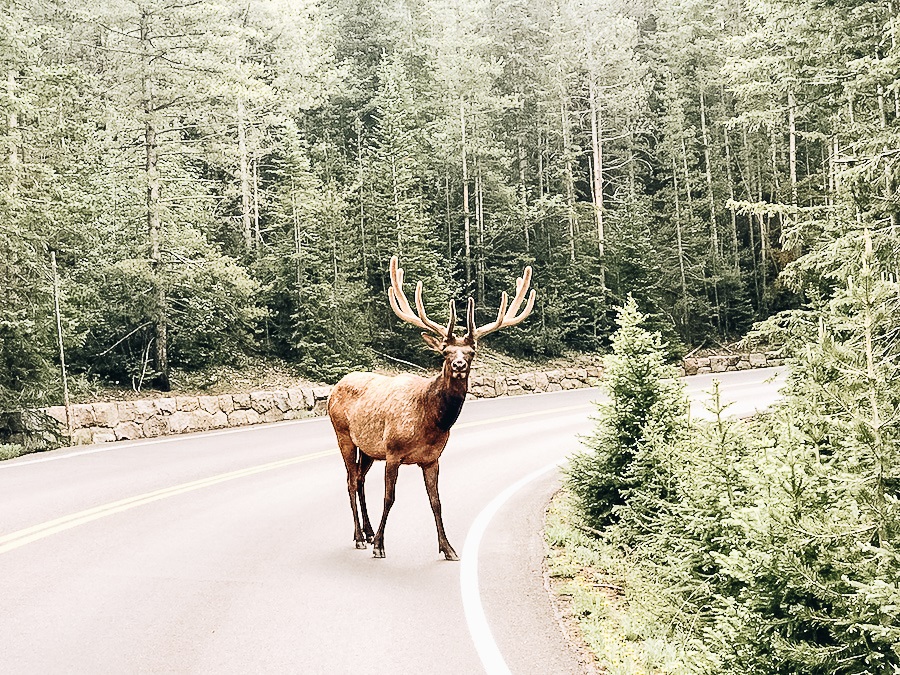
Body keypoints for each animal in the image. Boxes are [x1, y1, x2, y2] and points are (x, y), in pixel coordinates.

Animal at [326, 255, 536, 560]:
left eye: (471, 352)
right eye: (445, 352)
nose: (459, 365)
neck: (428, 421)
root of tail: (333, 390)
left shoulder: (432, 458)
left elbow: (436, 501)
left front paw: (448, 548)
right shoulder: (393, 451)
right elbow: (389, 498)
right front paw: (380, 545)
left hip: (368, 448)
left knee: (360, 479)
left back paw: (367, 531)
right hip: (343, 434)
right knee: (351, 480)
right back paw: (359, 537)